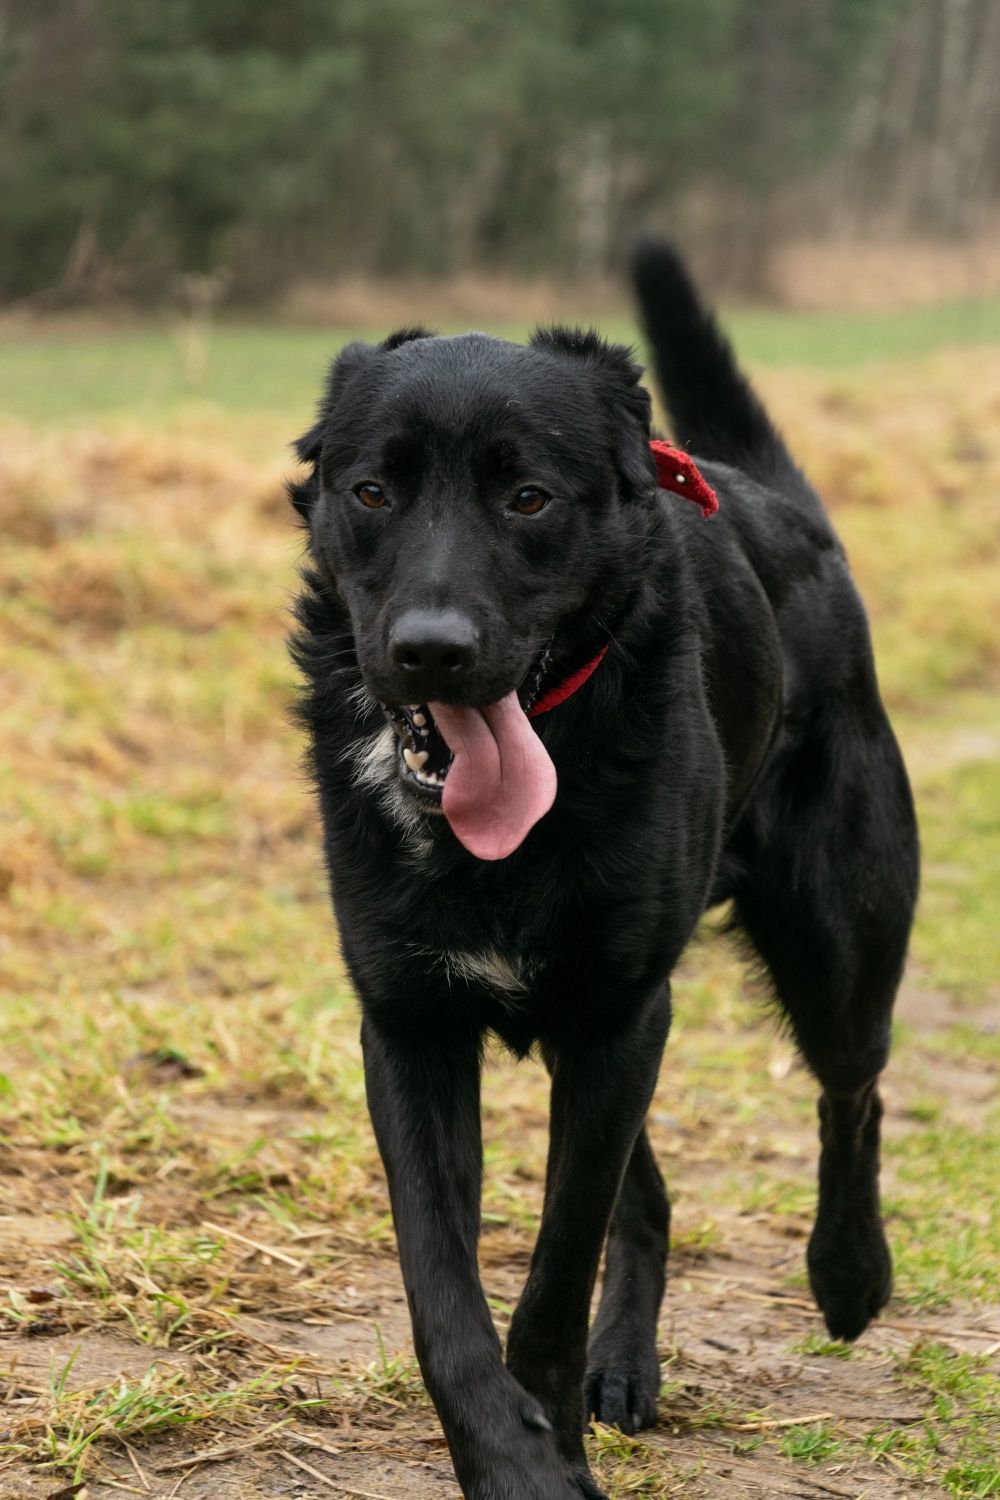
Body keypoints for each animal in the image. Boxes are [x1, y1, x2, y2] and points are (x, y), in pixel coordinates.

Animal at [287, 240, 917, 1494]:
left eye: (527, 497)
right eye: (372, 492)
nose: (430, 651)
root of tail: (777, 502)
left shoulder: (619, 1014)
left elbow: (550, 1280)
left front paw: (548, 1458)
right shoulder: (415, 1029)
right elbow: (445, 1299)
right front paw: (512, 1458)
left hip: (835, 948)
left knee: (852, 1089)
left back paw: (847, 1273)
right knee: (655, 1193)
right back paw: (624, 1365)